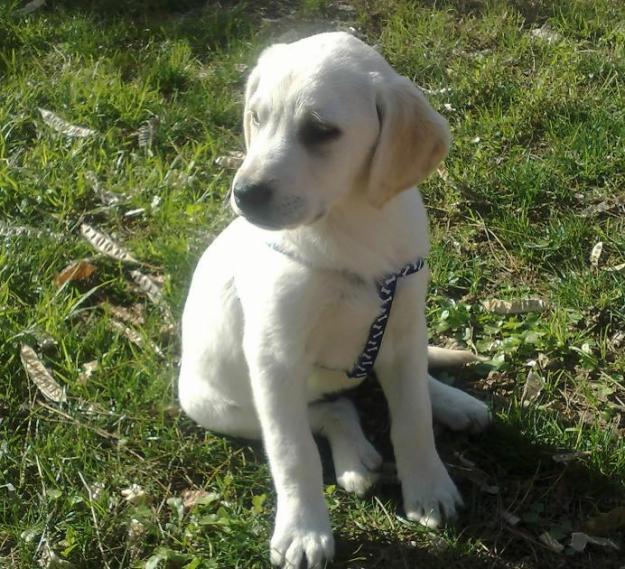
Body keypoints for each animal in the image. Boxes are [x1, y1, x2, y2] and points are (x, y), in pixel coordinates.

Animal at [178, 32, 490, 568]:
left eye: (320, 131)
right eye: (256, 117)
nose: (244, 193)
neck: (348, 226)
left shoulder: (403, 323)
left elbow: (412, 418)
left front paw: (428, 487)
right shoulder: (274, 357)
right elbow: (293, 451)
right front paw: (303, 531)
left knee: (397, 386)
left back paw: (453, 402)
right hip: (213, 404)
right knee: (327, 412)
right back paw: (355, 459)